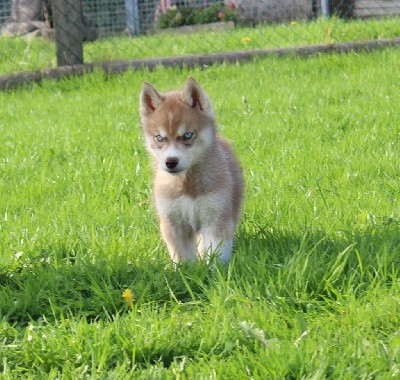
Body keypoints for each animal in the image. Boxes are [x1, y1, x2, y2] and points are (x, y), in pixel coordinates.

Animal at [139, 77, 242, 262]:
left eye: (187, 135)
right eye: (160, 138)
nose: (170, 162)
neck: (187, 184)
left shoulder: (215, 218)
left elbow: (215, 252)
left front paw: (213, 268)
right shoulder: (173, 223)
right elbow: (182, 257)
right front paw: (187, 269)